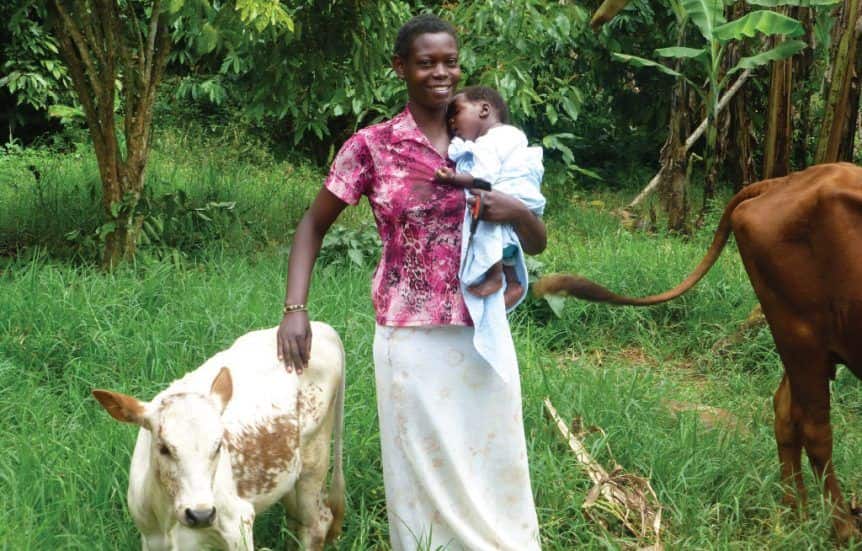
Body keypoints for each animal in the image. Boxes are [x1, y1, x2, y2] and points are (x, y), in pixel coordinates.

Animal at [95, 324, 348, 551]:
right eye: (164, 448)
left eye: (218, 447)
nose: (201, 514)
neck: (168, 518)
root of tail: (324, 329)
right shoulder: (151, 539)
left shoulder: (238, 524)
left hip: (313, 461)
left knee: (316, 524)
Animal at [536, 162, 862, 540]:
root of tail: (785, 181)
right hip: (800, 331)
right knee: (814, 427)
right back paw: (841, 528)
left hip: (799, 338)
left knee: (786, 412)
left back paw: (796, 515)